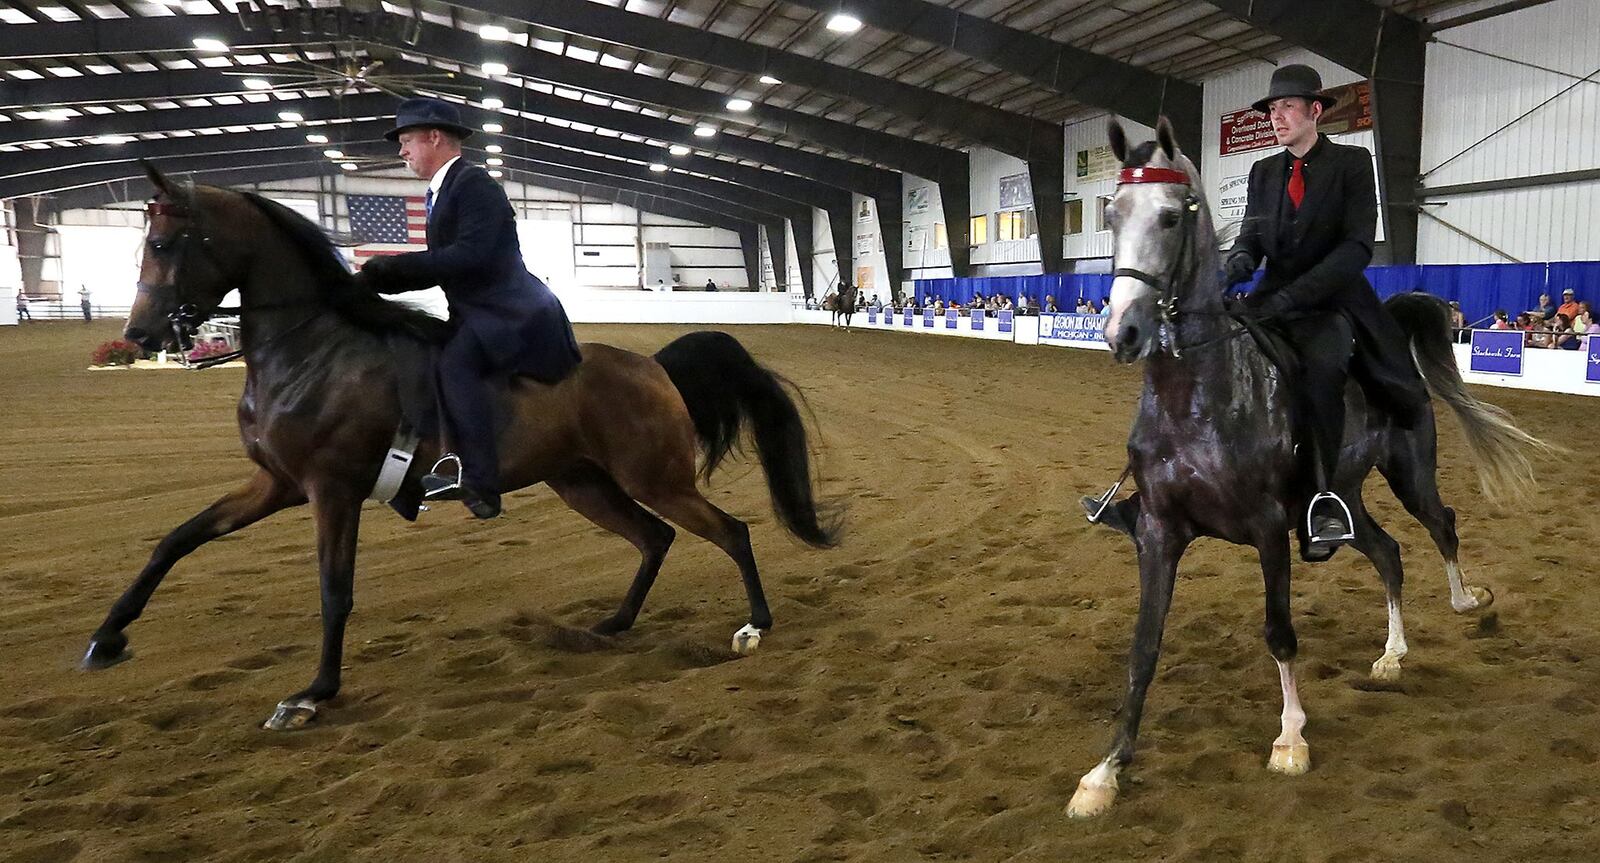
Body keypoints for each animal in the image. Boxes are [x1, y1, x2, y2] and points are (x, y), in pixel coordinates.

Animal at [84, 165, 838, 733]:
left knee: (730, 531)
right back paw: (614, 624)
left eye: (167, 244)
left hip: (654, 477)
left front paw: (312, 693)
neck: (314, 351)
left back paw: (754, 627)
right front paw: (107, 638)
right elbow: (177, 539)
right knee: (655, 538)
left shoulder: (332, 489)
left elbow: (334, 589)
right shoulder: (278, 483)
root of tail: (652, 365)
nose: (142, 334)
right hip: (584, 482)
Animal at [1068, 120, 1555, 816]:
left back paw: (1469, 602)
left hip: (1408, 473)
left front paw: (1290, 739)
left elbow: (1279, 632)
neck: (1198, 398)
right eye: (1110, 215)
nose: (1123, 334)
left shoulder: (1270, 527)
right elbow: (1143, 648)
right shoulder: (1159, 533)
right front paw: (1105, 772)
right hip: (1343, 495)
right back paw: (1391, 656)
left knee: (1442, 524)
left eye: (1170, 216)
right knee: (1388, 552)